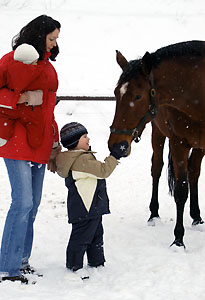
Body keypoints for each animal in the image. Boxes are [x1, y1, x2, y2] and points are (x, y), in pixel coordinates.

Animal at [107, 41, 205, 247]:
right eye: (116, 93)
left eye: (137, 96)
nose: (116, 144)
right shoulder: (178, 143)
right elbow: (180, 190)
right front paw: (178, 239)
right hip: (157, 133)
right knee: (157, 168)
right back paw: (154, 214)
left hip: (199, 146)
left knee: (194, 172)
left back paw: (196, 216)